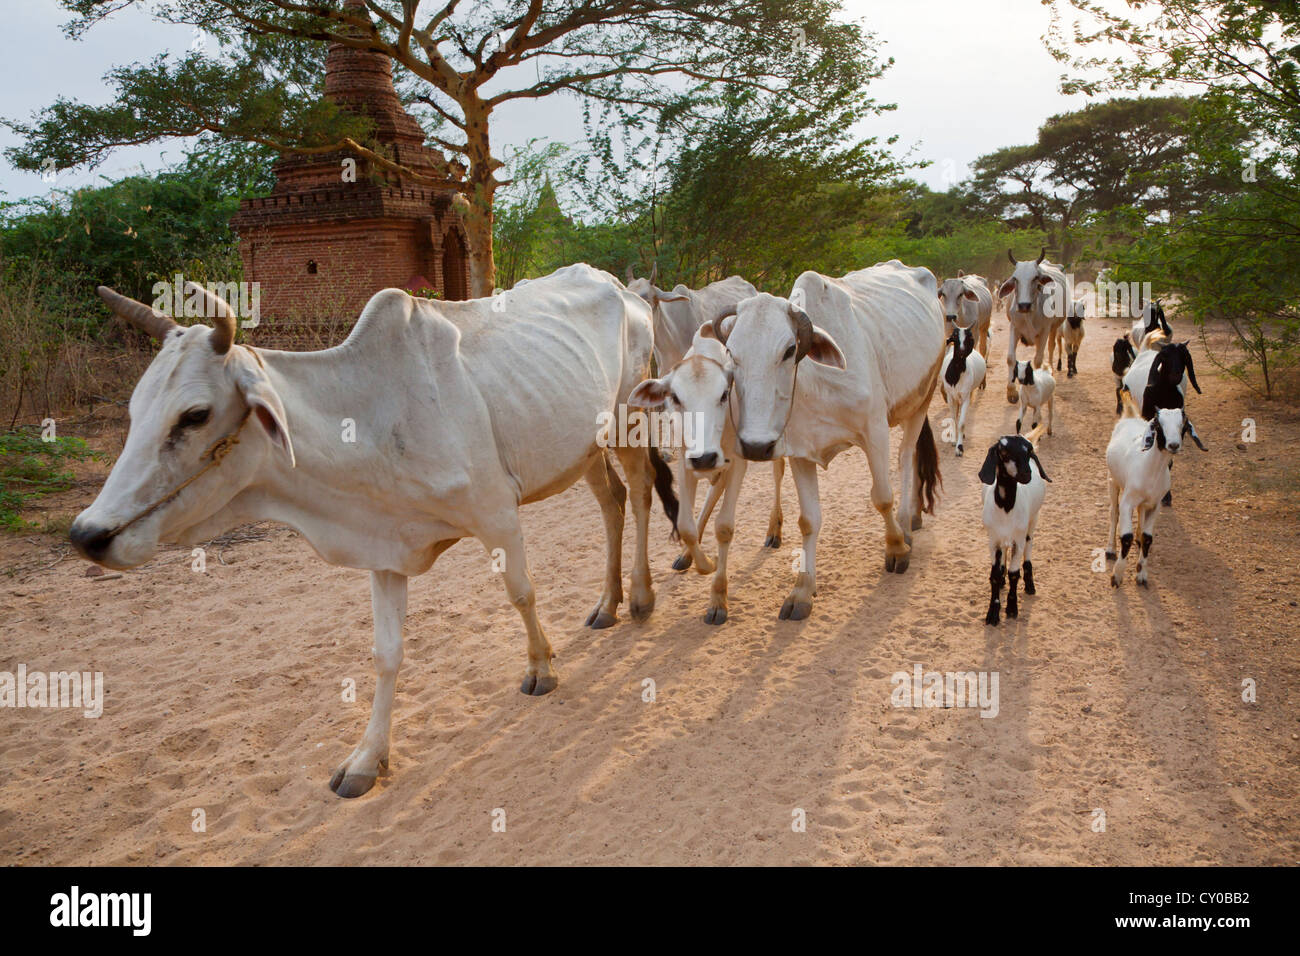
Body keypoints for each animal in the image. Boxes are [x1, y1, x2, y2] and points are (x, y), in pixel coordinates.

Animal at [68, 264, 681, 801]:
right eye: (135, 409)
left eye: (194, 415)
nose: (87, 534)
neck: (370, 417)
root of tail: (617, 285)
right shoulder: (384, 552)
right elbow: (386, 653)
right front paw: (367, 759)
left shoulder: (497, 513)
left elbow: (521, 594)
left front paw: (541, 669)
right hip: (584, 449)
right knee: (611, 504)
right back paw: (607, 602)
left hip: (628, 419)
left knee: (641, 494)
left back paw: (640, 595)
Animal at [696, 260, 941, 629]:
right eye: (731, 353)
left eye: (788, 351)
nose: (755, 447)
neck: (818, 383)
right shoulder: (800, 452)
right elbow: (809, 520)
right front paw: (801, 591)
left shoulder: (875, 432)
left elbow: (882, 497)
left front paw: (896, 548)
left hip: (922, 399)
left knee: (905, 457)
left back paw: (907, 520)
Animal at [977, 429, 1050, 629]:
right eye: (1004, 452)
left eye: (1029, 453)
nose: (1026, 474)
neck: (1006, 508)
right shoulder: (993, 539)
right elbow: (994, 574)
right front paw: (993, 613)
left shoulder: (1018, 538)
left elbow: (1014, 574)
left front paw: (1011, 608)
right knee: (1004, 554)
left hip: (1033, 521)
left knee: (1029, 546)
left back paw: (1030, 585)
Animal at [993, 247, 1066, 403]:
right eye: (1015, 278)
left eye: (1035, 278)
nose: (1023, 305)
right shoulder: (1014, 328)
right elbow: (1010, 358)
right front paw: (1011, 391)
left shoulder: (1044, 330)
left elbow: (1038, 360)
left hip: (1054, 328)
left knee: (1051, 347)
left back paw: (1050, 370)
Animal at [1107, 390, 1206, 587]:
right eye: (1159, 426)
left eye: (1183, 425)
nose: (1173, 445)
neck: (1150, 468)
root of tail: (1130, 416)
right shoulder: (1127, 501)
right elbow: (1126, 536)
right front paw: (1117, 576)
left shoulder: (1156, 504)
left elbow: (1148, 538)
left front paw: (1141, 574)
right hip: (1114, 481)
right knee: (1114, 513)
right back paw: (1110, 550)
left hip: (1144, 501)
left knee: (1140, 514)